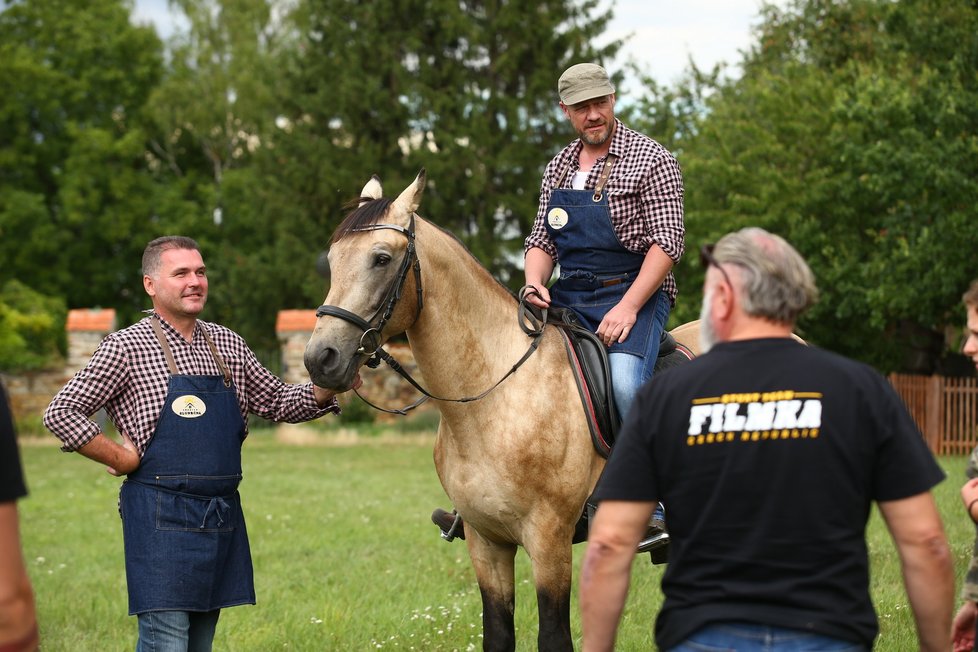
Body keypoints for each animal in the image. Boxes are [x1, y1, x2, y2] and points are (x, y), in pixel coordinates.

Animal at [304, 171, 700, 648]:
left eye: (381, 259)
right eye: (332, 260)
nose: (321, 359)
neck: (495, 397)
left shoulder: (550, 541)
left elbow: (553, 637)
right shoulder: (486, 542)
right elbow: (497, 634)